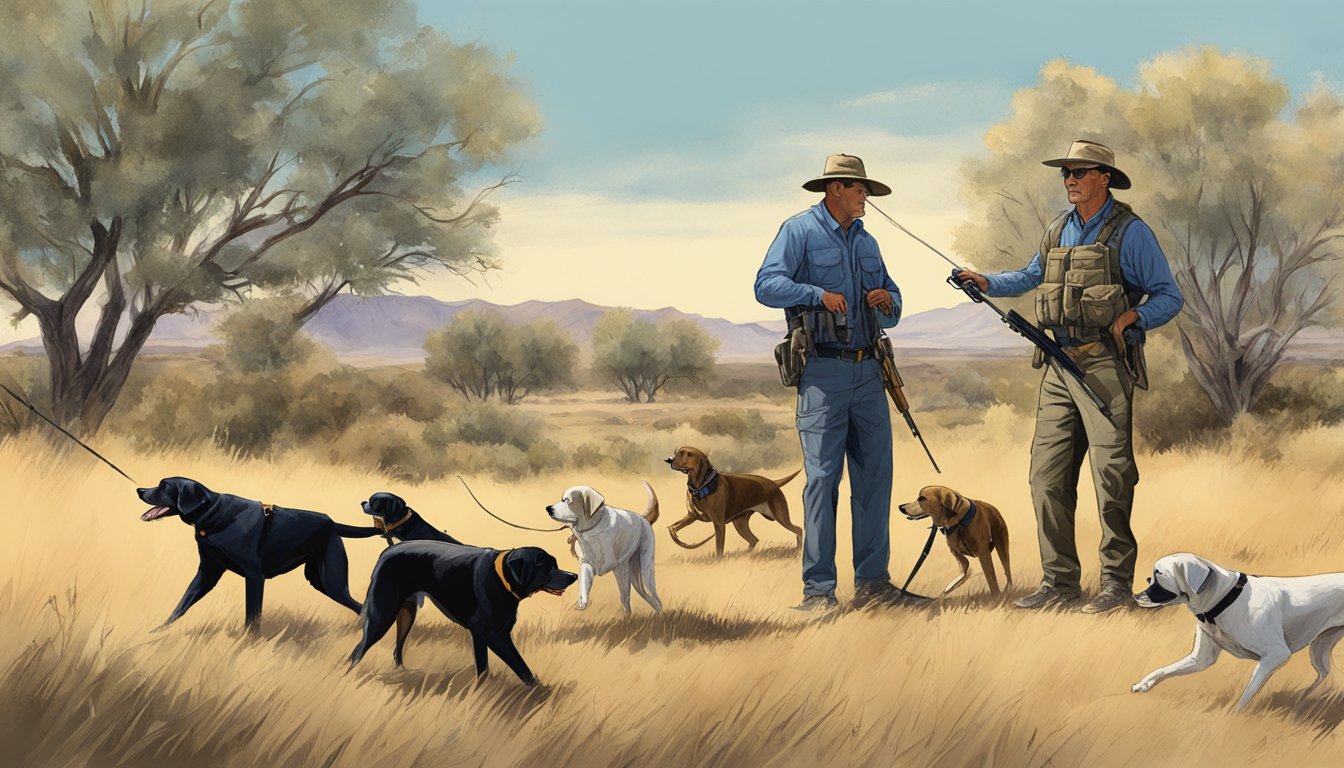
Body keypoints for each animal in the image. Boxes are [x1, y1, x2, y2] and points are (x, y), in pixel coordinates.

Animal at [545, 484, 661, 616]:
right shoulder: (587, 563)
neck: (592, 530)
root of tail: (643, 518)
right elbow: (584, 583)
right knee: (644, 598)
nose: (548, 508)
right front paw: (582, 602)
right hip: (637, 578)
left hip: (644, 572)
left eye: (567, 501)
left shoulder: (616, 566)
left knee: (652, 598)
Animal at [661, 443, 795, 559]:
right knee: (754, 540)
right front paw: (676, 537)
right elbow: (674, 527)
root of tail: (773, 483)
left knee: (797, 530)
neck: (702, 487)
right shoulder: (693, 516)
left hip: (780, 516)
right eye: (677, 452)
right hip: (740, 523)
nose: (669, 460)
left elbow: (719, 548)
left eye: (688, 454)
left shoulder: (719, 525)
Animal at [1134, 554, 1344, 710]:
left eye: (1158, 575)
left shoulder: (1275, 655)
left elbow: (1247, 695)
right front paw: (1145, 683)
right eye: (1150, 578)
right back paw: (1302, 697)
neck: (1224, 600)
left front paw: (1235, 716)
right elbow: (1163, 670)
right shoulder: (1200, 660)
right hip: (1319, 647)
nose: (1135, 596)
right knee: (1323, 673)